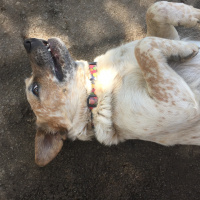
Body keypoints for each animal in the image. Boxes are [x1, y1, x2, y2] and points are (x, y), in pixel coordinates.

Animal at [23, 1, 200, 166]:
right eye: (35, 89)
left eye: (31, 83)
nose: (27, 42)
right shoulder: (178, 105)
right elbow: (143, 46)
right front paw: (186, 49)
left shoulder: (169, 36)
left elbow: (155, 10)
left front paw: (195, 16)